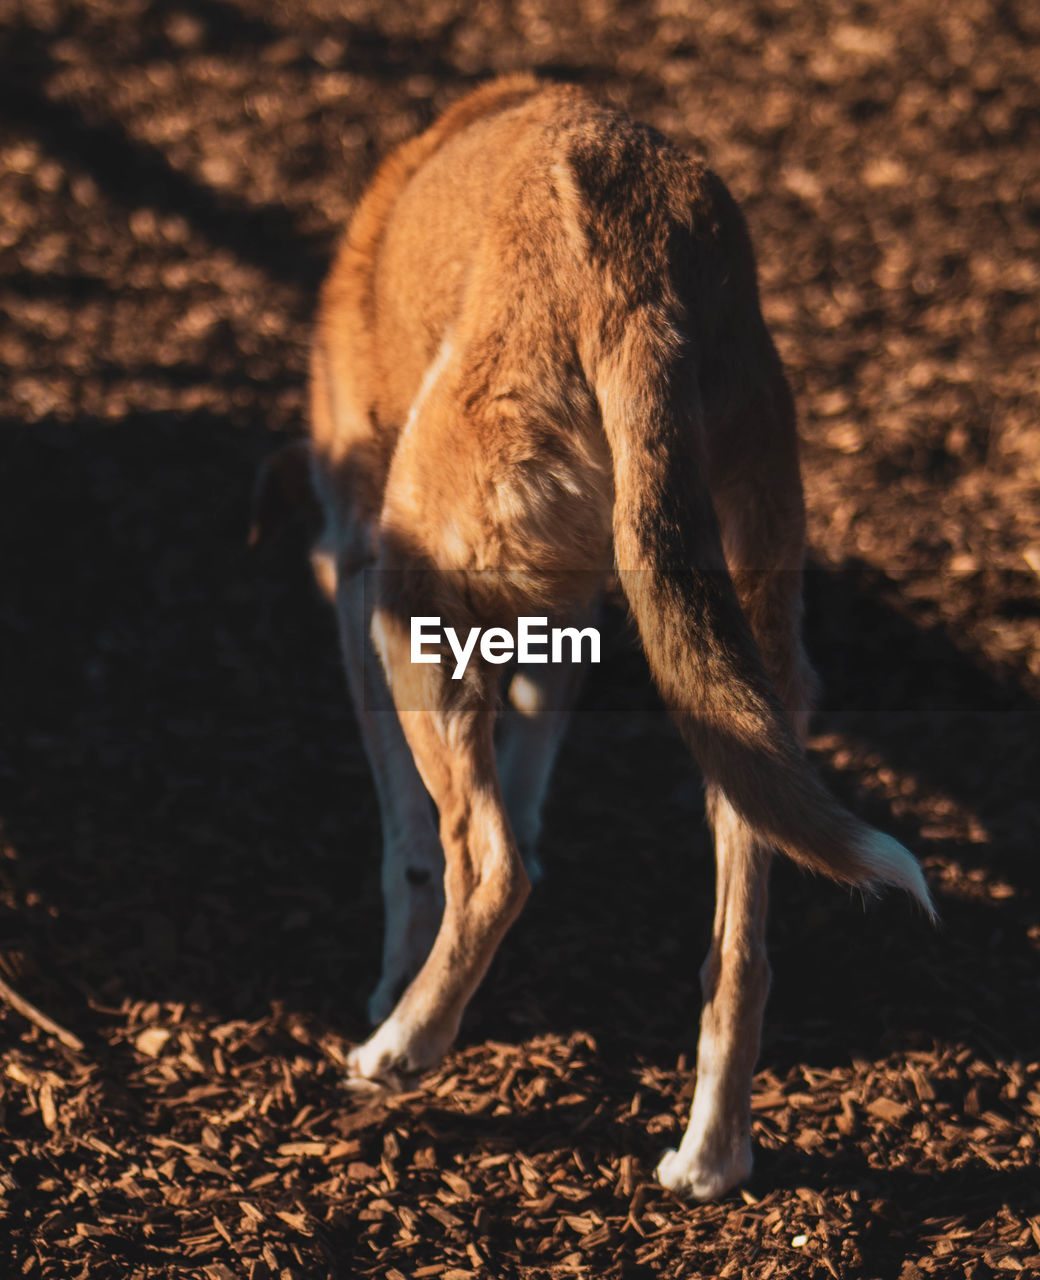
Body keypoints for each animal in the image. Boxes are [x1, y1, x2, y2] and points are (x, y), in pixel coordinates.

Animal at [253, 77, 932, 1198]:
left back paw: (402, 1044)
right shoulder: (563, 612)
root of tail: (637, 271)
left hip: (412, 603)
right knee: (741, 934)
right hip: (745, 655)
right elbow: (532, 745)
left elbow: (412, 847)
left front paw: (392, 984)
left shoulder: (362, 593)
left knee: (488, 869)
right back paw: (711, 1153)